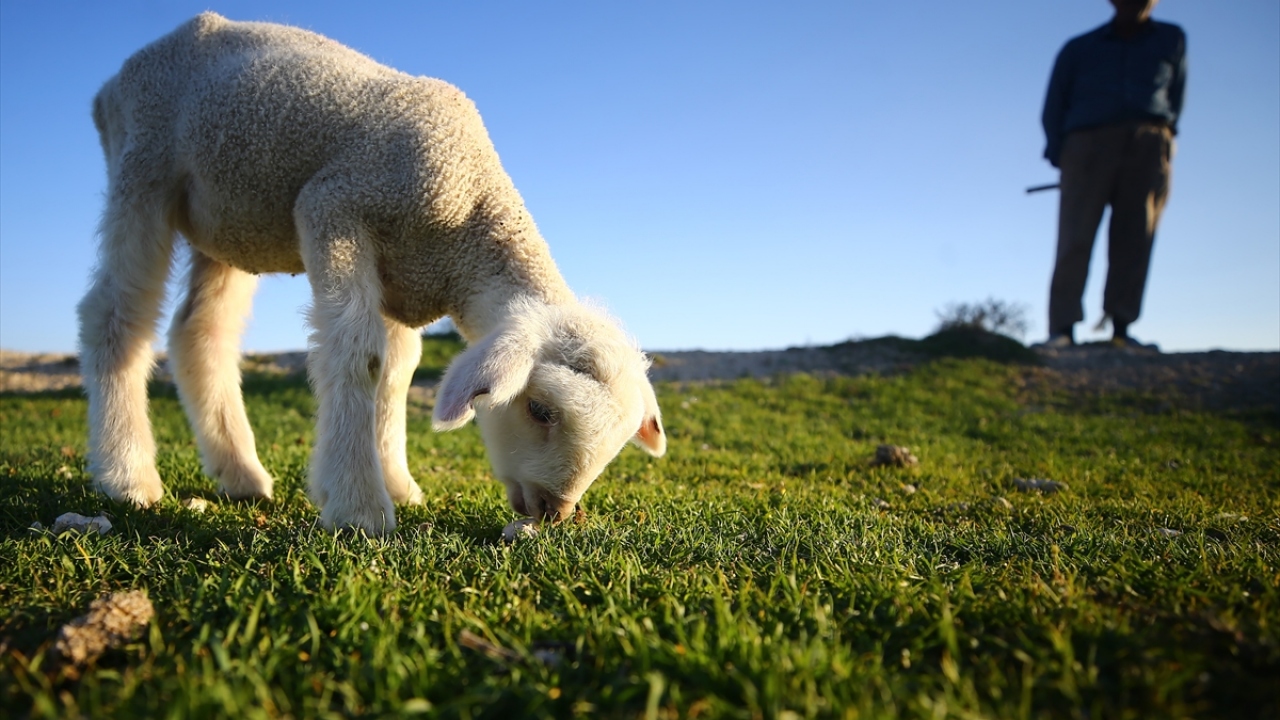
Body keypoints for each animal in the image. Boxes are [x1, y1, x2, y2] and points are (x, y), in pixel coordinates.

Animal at [78, 12, 666, 535]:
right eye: (540, 410)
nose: (555, 510)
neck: (467, 212)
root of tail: (108, 87)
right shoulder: (335, 208)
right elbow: (360, 356)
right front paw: (358, 505)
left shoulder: (404, 274)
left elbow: (398, 370)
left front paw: (397, 483)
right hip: (144, 164)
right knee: (114, 316)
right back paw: (127, 476)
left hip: (227, 220)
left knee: (200, 332)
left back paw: (241, 475)